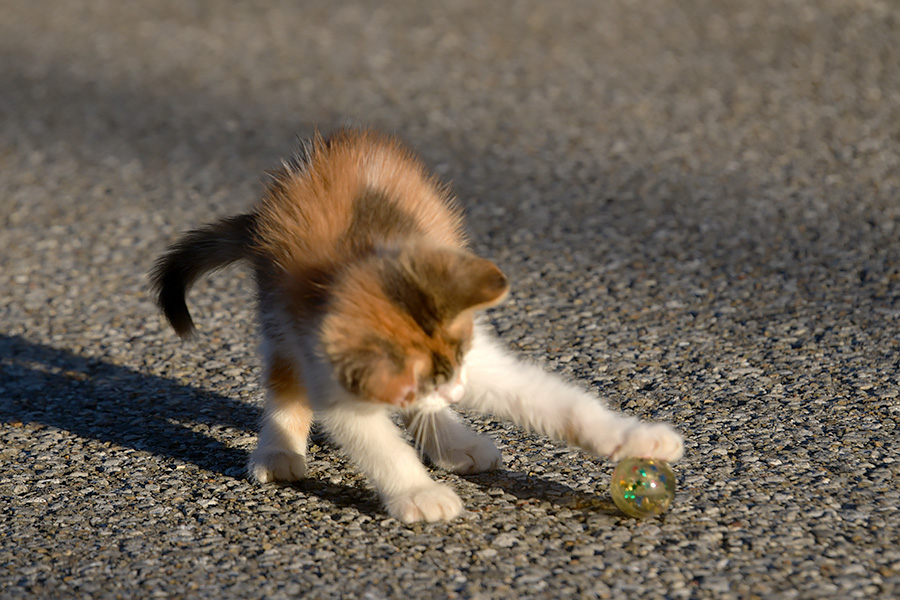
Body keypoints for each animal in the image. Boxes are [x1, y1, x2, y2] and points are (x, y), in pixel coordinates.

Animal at [151, 129, 684, 524]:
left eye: (455, 364)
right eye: (415, 383)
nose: (454, 392)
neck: (358, 264)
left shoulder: (472, 352)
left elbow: (554, 401)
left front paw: (639, 438)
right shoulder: (327, 364)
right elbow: (375, 440)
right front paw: (418, 494)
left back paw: (456, 441)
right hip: (275, 310)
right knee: (283, 375)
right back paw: (279, 451)